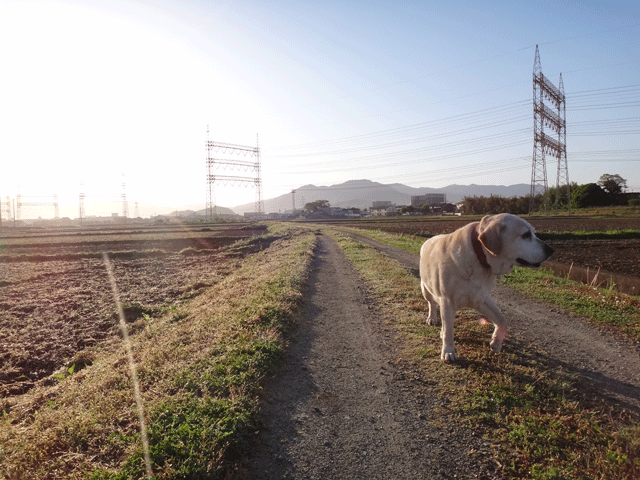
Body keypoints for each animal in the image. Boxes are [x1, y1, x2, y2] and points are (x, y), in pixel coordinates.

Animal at [420, 212, 556, 362]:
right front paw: (448, 351)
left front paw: (496, 343)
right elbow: (449, 330)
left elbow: (502, 319)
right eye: (526, 234)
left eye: (533, 232)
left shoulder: (481, 298)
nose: (551, 250)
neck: (479, 256)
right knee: (432, 304)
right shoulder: (447, 300)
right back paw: (432, 318)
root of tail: (429, 239)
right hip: (426, 289)